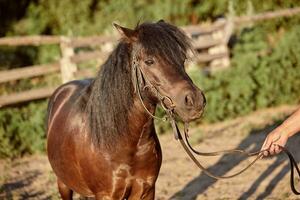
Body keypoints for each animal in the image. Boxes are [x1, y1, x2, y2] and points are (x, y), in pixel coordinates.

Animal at [47, 20, 206, 200]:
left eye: (182, 58)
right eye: (149, 61)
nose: (195, 100)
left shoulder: (146, 191)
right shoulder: (106, 195)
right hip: (63, 184)